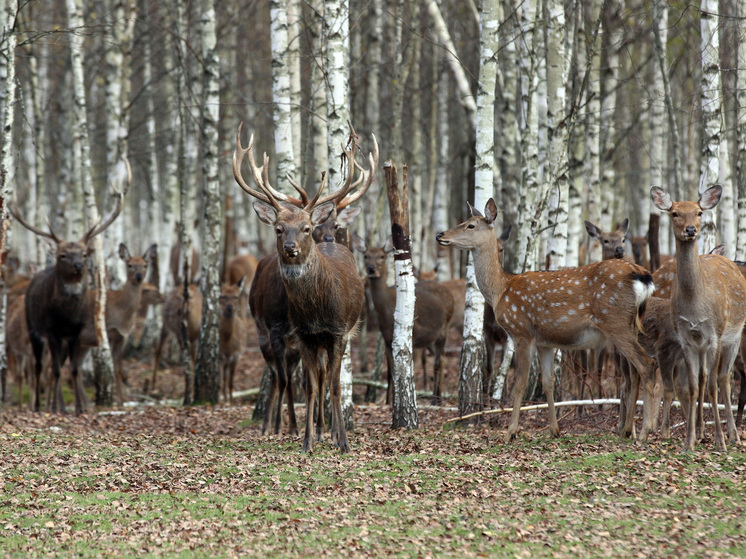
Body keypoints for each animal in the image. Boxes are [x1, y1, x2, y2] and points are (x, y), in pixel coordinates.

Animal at [8, 164, 128, 414]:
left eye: (83, 253)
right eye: (62, 255)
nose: (79, 265)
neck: (67, 315)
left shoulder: (76, 332)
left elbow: (72, 368)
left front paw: (79, 409)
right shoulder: (51, 330)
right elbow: (54, 370)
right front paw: (53, 407)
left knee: (57, 366)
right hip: (33, 329)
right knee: (39, 367)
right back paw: (39, 405)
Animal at [434, 200, 652, 442]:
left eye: (470, 225)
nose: (440, 234)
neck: (501, 290)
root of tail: (642, 275)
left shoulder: (521, 331)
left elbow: (520, 382)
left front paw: (510, 432)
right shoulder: (545, 342)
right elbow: (548, 382)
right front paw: (554, 430)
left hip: (615, 322)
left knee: (646, 363)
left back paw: (644, 431)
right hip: (630, 324)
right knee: (633, 372)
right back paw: (627, 430)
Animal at [644, 186, 744, 452]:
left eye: (699, 212)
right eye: (675, 213)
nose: (691, 230)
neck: (695, 307)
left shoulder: (715, 335)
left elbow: (711, 387)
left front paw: (719, 441)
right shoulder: (686, 338)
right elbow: (692, 387)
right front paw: (689, 441)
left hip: (734, 338)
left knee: (723, 378)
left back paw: (733, 434)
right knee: (703, 378)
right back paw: (701, 431)